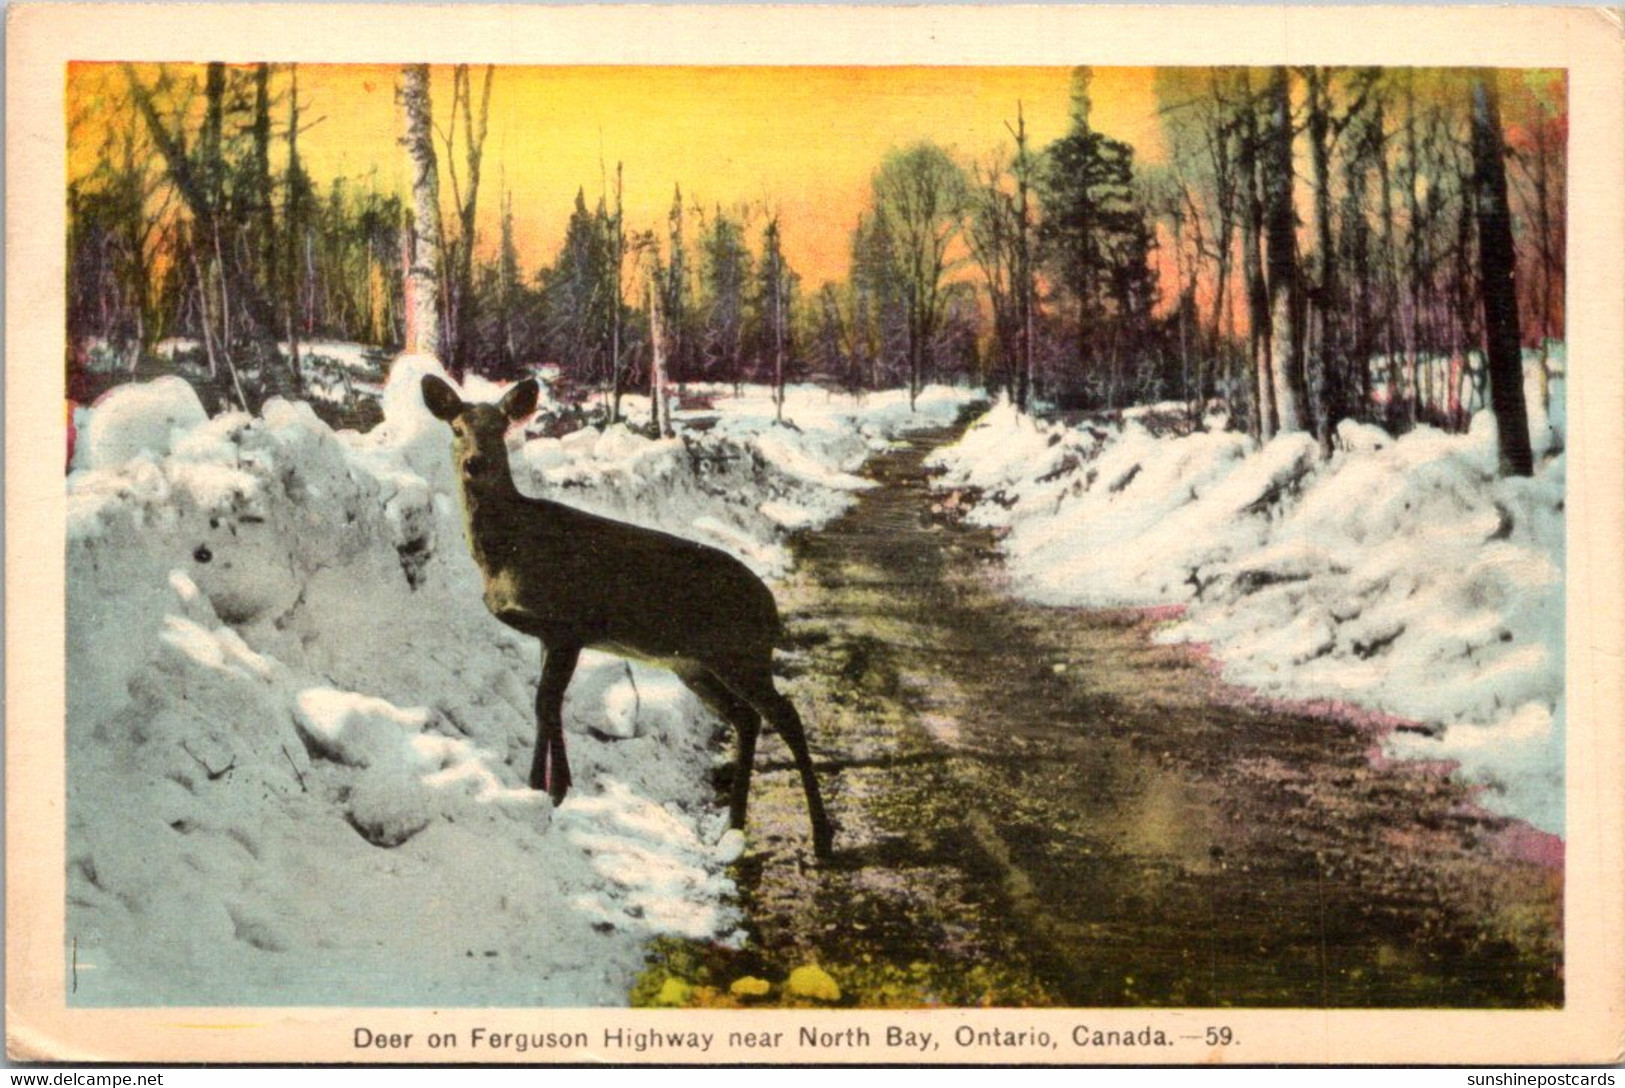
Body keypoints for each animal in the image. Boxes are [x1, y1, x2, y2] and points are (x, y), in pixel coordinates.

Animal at [419, 375, 838, 863]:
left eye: (500, 428)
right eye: (457, 428)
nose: (474, 463)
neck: (509, 550)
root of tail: (771, 607)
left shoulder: (568, 624)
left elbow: (546, 702)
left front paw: (546, 788)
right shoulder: (547, 634)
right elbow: (546, 705)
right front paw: (547, 787)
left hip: (741, 652)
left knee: (786, 714)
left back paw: (821, 837)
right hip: (693, 664)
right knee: (746, 717)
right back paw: (733, 826)